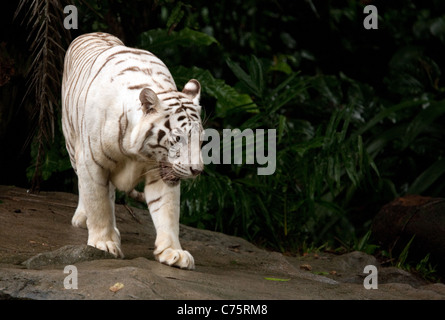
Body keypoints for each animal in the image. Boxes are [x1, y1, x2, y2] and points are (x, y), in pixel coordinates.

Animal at [60, 32, 203, 268]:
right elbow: (97, 203)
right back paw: (84, 218)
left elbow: (167, 209)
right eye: (177, 138)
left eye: (201, 139)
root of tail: (93, 32)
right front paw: (104, 243)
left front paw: (173, 251)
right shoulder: (92, 162)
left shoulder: (161, 170)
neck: (138, 151)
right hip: (72, 143)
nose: (197, 170)